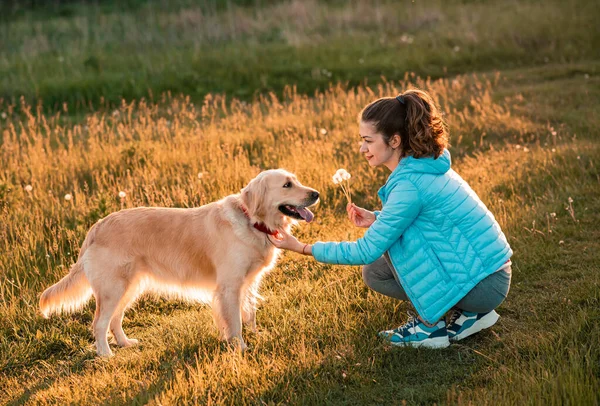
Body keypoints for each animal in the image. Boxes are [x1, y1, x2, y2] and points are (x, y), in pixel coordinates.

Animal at [38, 170, 318, 356]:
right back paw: (106, 354)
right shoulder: (229, 287)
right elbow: (235, 322)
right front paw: (240, 347)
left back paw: (125, 344)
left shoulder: (248, 283)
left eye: (296, 181)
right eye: (287, 185)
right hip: (113, 289)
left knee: (115, 320)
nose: (316, 194)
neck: (252, 220)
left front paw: (257, 336)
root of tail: (96, 227)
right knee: (99, 323)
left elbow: (250, 314)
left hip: (130, 286)